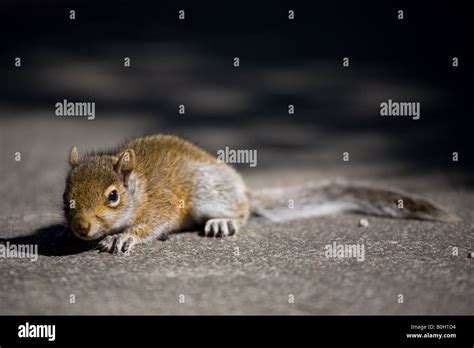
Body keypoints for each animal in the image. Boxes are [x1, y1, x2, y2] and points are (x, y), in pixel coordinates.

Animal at [63, 135, 460, 254]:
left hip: (208, 193)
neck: (140, 189)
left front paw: (123, 237)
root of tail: (244, 189)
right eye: (66, 193)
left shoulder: (160, 205)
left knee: (241, 211)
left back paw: (223, 221)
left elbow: (150, 225)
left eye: (113, 196)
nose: (81, 228)